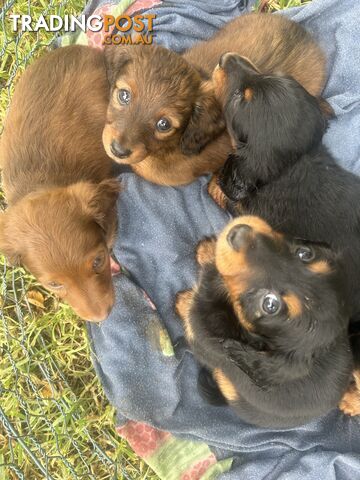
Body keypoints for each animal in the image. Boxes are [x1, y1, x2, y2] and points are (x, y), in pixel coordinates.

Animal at [176, 218, 352, 428]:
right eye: (304, 254)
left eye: (270, 304)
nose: (239, 233)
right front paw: (208, 249)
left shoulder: (201, 339)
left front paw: (183, 302)